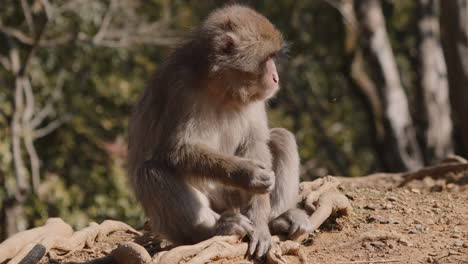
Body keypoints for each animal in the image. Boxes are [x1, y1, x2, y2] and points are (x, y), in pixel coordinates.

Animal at [128, 5, 310, 258]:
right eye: (268, 60)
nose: (276, 78)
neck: (221, 86)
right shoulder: (179, 87)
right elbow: (176, 150)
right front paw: (248, 173)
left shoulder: (254, 98)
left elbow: (255, 142)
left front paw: (261, 225)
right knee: (149, 171)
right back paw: (215, 229)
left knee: (281, 137)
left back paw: (277, 219)